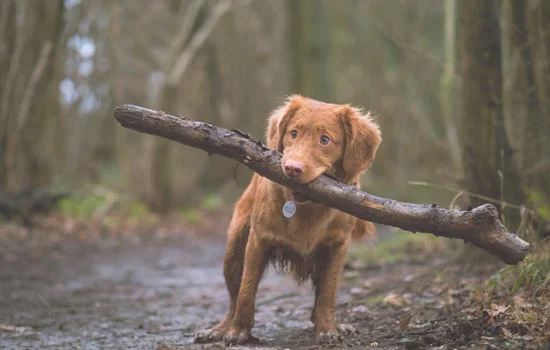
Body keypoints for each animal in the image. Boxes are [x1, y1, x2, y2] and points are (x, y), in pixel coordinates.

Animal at [196, 95, 382, 344]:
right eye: (294, 133)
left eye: (325, 140)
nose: (292, 168)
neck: (307, 207)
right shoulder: (258, 240)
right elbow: (246, 289)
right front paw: (238, 331)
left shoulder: (337, 246)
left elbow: (328, 292)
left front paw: (327, 329)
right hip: (234, 248)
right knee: (234, 296)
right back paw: (220, 328)